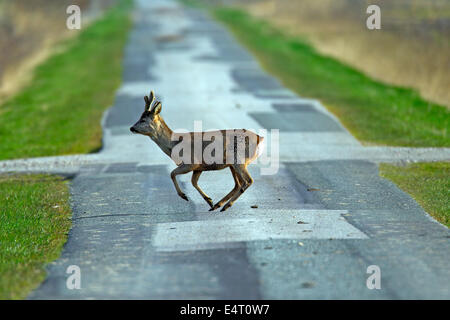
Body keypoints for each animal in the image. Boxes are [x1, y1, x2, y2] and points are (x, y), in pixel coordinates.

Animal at [130, 90, 264, 211]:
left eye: (143, 120)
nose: (131, 128)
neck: (173, 145)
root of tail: (259, 138)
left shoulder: (192, 162)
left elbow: (172, 173)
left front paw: (184, 196)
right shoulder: (199, 167)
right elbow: (193, 182)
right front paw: (209, 201)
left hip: (238, 159)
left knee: (248, 181)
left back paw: (226, 205)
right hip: (232, 163)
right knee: (238, 184)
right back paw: (218, 205)